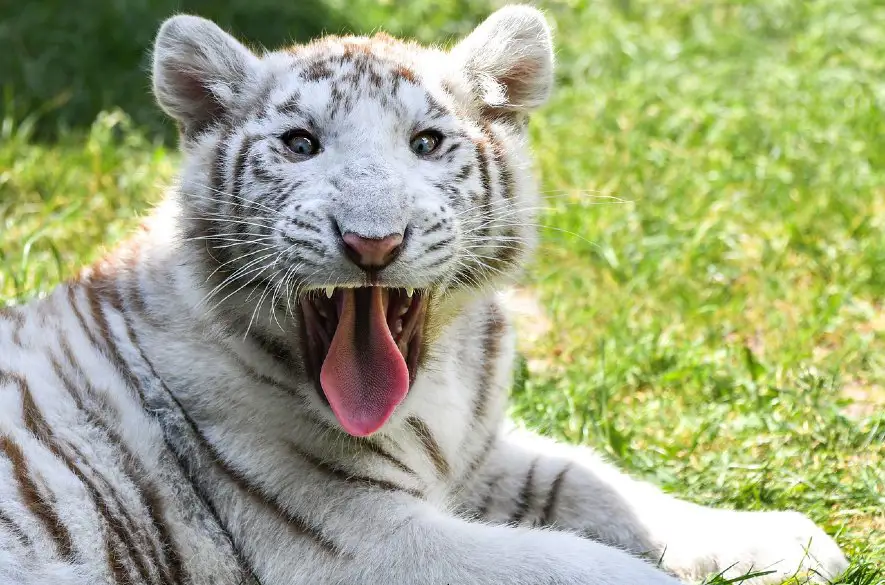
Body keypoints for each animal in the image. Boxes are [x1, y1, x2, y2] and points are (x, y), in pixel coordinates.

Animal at [0, 5, 848, 584]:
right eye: (301, 144)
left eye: (426, 143)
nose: (371, 242)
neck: (434, 382)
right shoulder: (360, 539)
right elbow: (573, 561)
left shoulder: (479, 459)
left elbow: (597, 482)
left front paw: (789, 539)